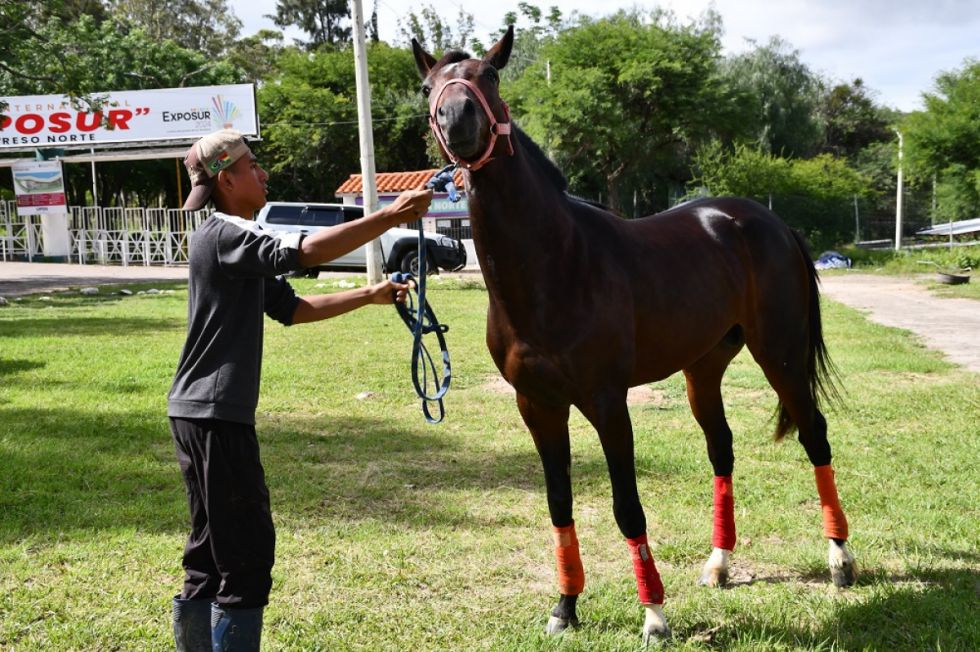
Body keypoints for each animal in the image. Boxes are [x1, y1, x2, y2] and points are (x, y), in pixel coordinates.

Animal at [414, 29, 856, 640]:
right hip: (703, 368)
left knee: (815, 435)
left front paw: (654, 615)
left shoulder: (606, 402)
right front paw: (565, 607)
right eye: (428, 87)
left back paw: (840, 560)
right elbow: (558, 502)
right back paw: (719, 563)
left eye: (491, 77)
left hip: (781, 356)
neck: (555, 264)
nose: (457, 118)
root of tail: (767, 222)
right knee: (722, 449)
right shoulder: (537, 405)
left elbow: (627, 505)